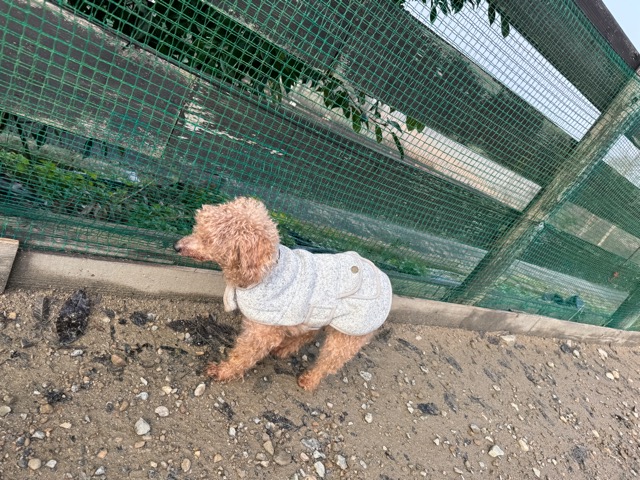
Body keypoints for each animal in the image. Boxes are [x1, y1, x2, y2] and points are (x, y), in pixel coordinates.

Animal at [174, 197, 392, 390]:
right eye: (198, 229)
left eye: (207, 239)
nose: (176, 247)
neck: (265, 271)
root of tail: (385, 277)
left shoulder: (262, 332)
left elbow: (243, 355)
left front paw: (223, 371)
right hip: (317, 313)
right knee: (308, 333)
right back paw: (283, 349)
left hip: (349, 334)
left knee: (330, 360)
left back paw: (309, 380)